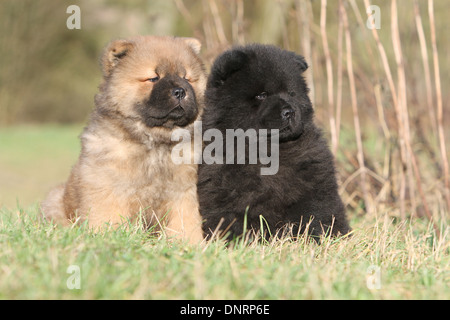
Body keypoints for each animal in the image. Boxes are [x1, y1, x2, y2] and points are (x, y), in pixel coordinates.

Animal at [41, 35, 207, 244]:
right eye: (153, 78)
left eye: (186, 79)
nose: (180, 91)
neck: (155, 142)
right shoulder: (108, 186)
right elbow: (107, 216)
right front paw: (108, 237)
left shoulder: (184, 192)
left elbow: (185, 222)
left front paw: (190, 244)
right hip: (55, 200)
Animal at [199, 44, 350, 240]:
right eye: (262, 95)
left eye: (291, 94)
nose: (289, 112)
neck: (270, 150)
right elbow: (233, 218)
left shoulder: (314, 186)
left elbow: (314, 215)